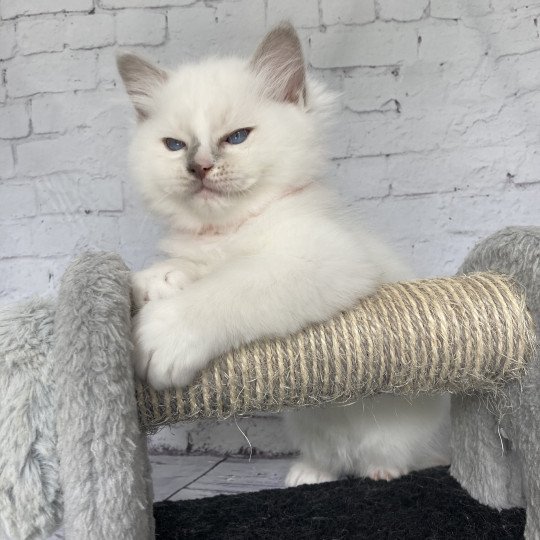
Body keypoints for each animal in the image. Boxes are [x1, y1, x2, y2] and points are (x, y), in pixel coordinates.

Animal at [119, 22, 452, 486]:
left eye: (237, 137)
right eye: (174, 145)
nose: (199, 167)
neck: (230, 228)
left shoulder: (324, 257)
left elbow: (229, 286)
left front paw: (161, 335)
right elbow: (180, 269)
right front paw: (160, 280)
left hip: (400, 434)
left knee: (403, 459)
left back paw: (382, 472)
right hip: (307, 421)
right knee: (331, 457)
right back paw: (308, 474)